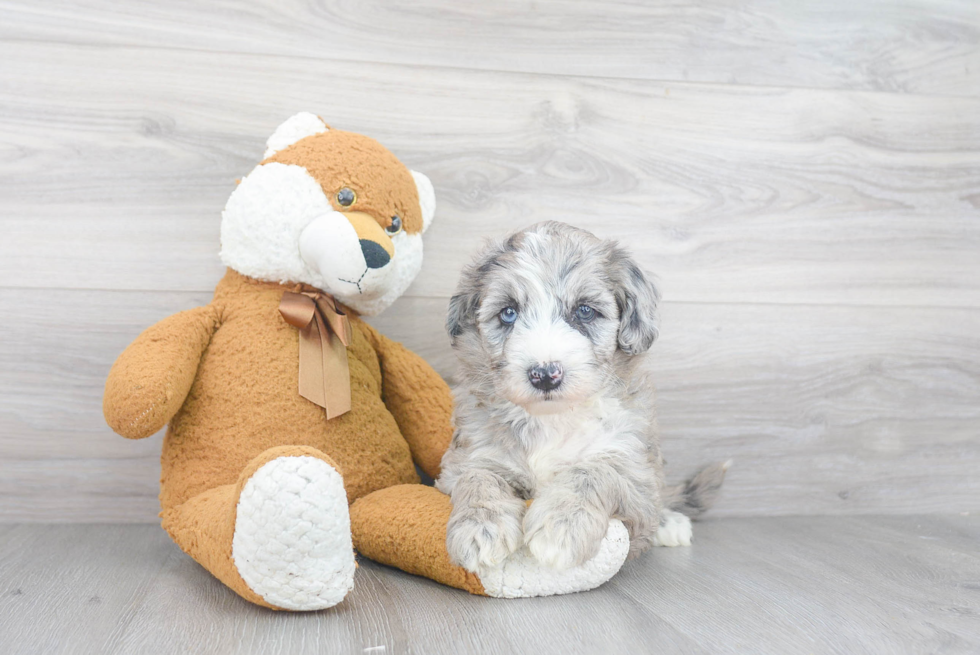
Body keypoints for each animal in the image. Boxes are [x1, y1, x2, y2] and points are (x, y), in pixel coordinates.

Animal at [436, 223, 728, 572]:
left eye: (585, 311)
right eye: (508, 313)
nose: (545, 374)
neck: (554, 417)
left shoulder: (635, 473)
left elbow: (595, 471)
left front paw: (562, 526)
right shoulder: (468, 457)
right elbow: (478, 476)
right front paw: (480, 527)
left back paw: (671, 523)